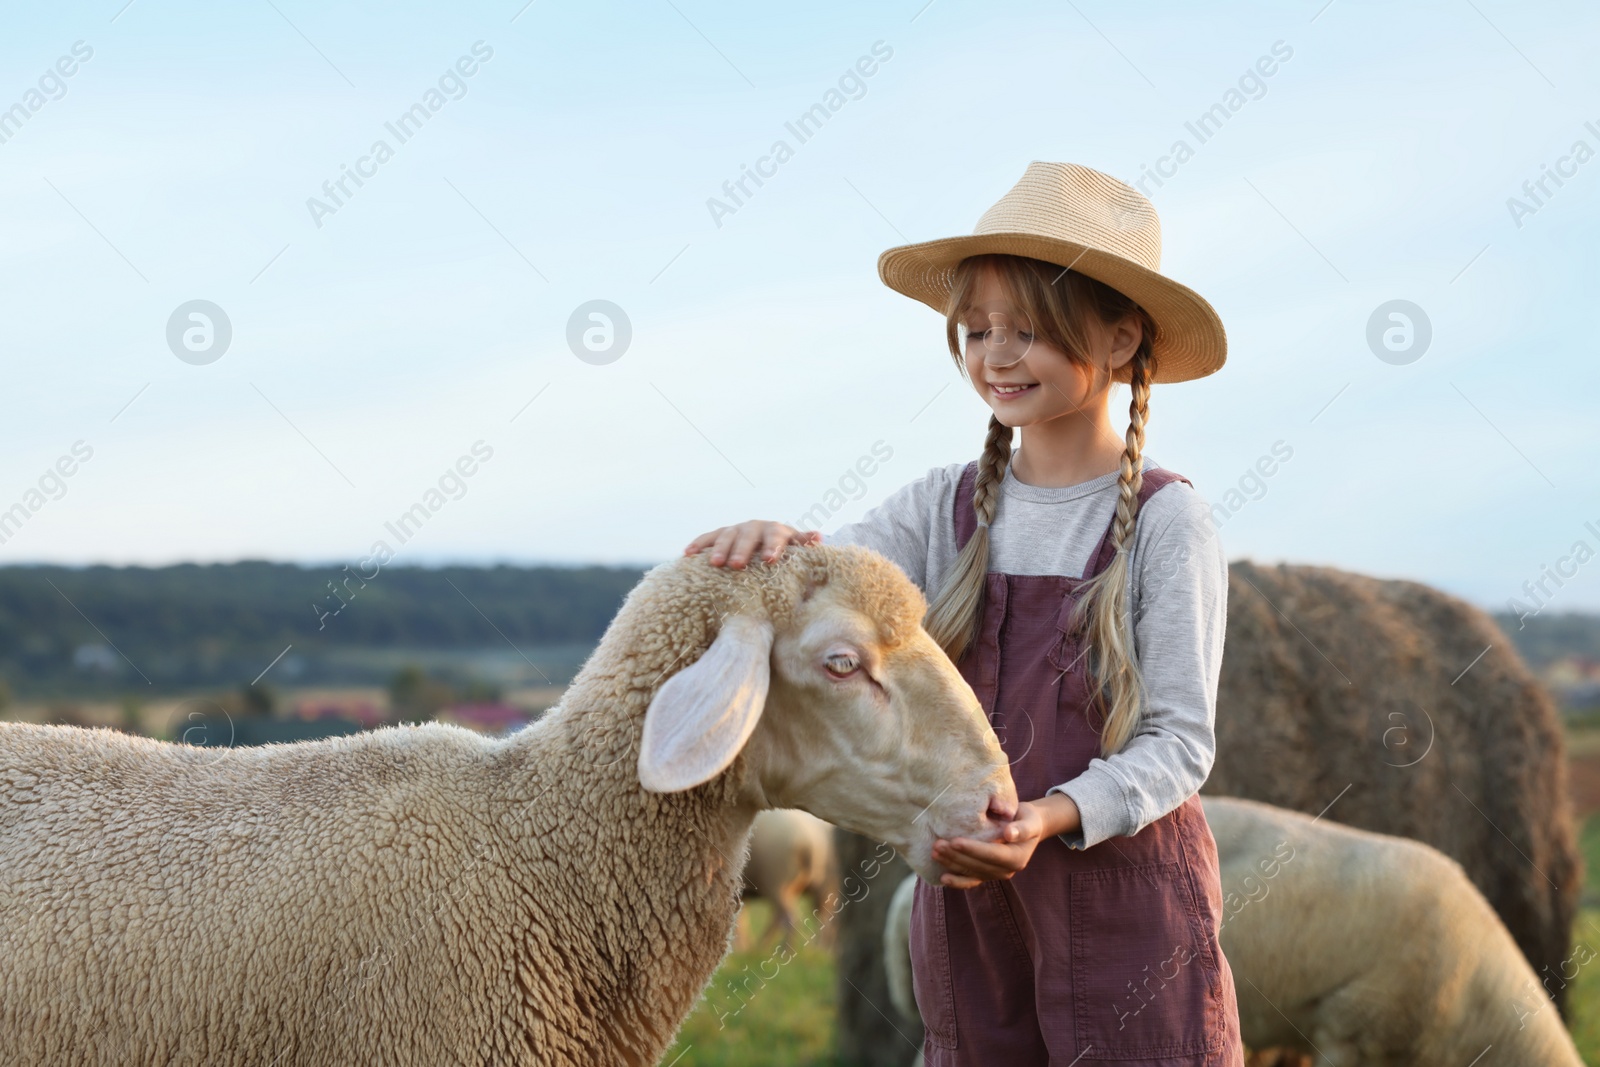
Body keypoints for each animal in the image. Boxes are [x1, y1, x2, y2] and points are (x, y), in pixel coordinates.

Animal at [736, 809, 838, 953]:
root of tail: (809, 841)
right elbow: (741, 920)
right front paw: (743, 947)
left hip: (778, 883)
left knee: (789, 919)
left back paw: (783, 951)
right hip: (824, 887)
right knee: (826, 918)